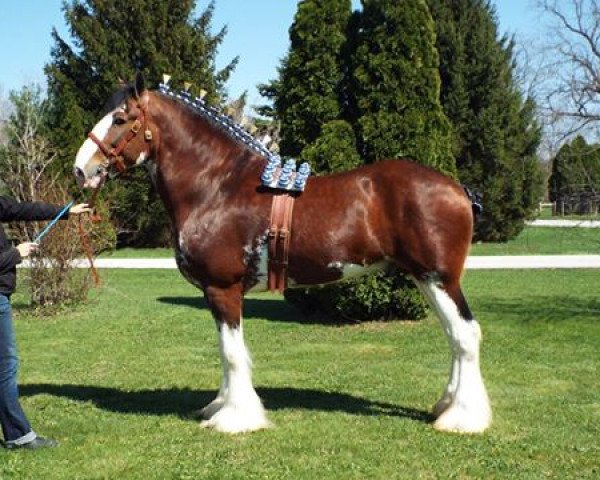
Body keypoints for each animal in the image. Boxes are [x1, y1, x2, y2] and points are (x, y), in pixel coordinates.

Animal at [72, 74, 490, 436]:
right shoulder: (215, 292)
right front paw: (220, 405)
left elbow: (232, 353)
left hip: (439, 278)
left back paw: (462, 417)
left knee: (465, 334)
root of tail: (458, 189)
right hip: (426, 279)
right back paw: (446, 405)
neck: (215, 186)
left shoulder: (223, 288)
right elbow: (226, 351)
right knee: (454, 335)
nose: (80, 170)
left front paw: (235, 418)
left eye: (120, 118)